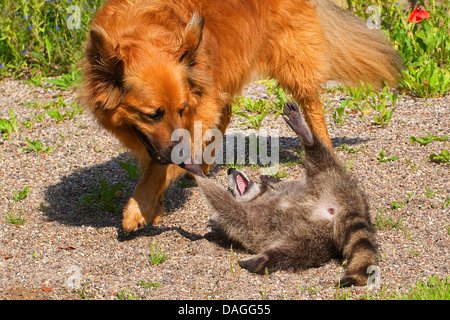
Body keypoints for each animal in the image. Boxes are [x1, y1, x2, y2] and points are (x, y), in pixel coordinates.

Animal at [80, 0, 400, 231]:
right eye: (152, 114)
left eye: (181, 109)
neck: (144, 30)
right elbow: (159, 159)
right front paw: (155, 203)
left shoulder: (199, 105)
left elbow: (164, 163)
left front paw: (140, 207)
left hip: (292, 57)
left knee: (312, 106)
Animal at [185, 102, 378, 288]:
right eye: (229, 189)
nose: (230, 170)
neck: (257, 197)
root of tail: (345, 207)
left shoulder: (284, 191)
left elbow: (283, 185)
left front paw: (270, 180)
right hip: (310, 237)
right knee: (287, 253)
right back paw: (263, 259)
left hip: (330, 179)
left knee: (321, 160)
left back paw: (307, 137)